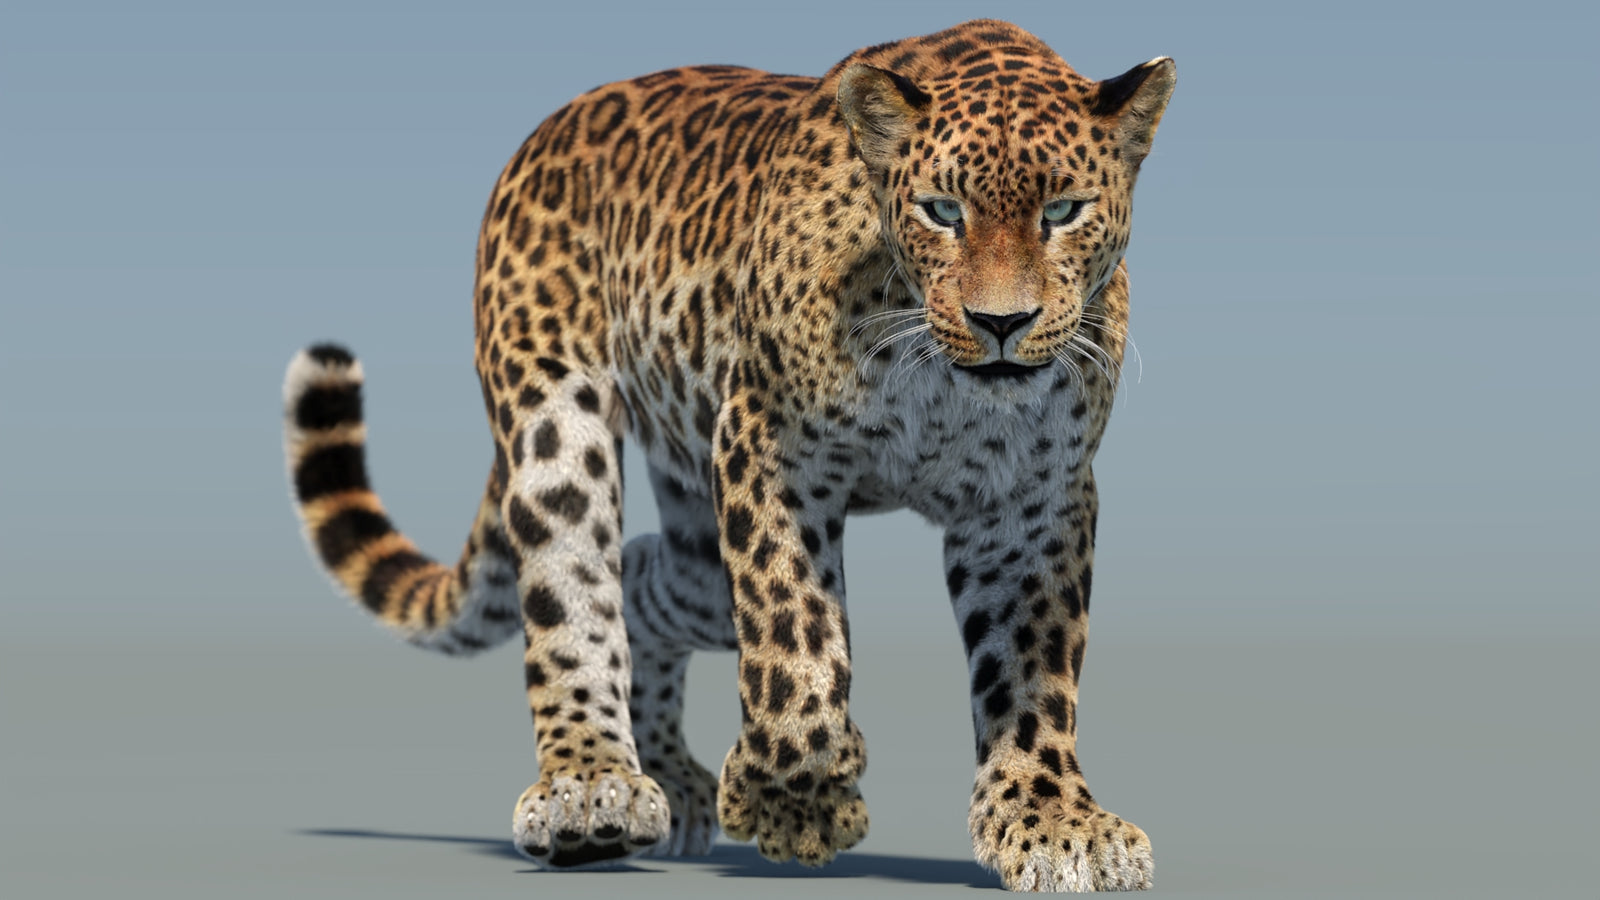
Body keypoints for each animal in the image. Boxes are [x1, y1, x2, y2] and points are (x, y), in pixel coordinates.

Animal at [281, 19, 1173, 892]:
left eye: (1064, 209)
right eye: (942, 210)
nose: (1001, 323)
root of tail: (548, 130)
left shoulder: (1032, 498)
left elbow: (1031, 668)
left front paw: (1052, 819)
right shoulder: (770, 446)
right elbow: (794, 637)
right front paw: (797, 806)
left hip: (697, 542)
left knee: (643, 578)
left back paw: (672, 782)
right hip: (555, 420)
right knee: (578, 596)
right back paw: (592, 786)